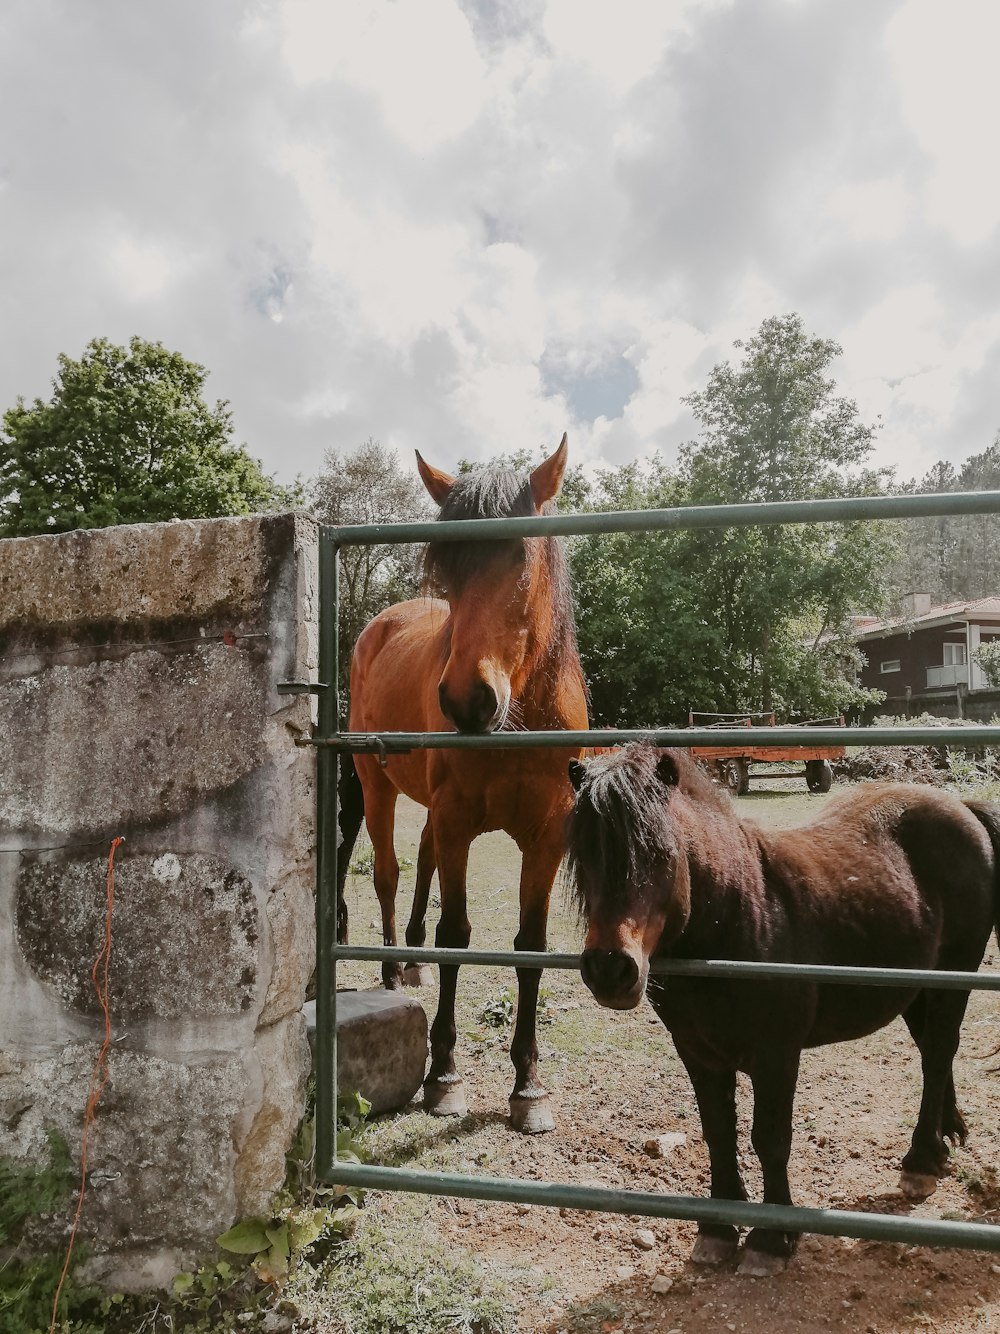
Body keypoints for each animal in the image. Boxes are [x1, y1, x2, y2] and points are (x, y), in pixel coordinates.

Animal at [349, 442, 592, 1131]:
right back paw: (392, 972)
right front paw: (445, 1076)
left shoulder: (546, 837)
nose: (466, 701)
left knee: (420, 864)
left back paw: (411, 962)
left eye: (520, 556)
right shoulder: (458, 821)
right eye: (448, 569)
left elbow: (531, 946)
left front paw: (528, 1088)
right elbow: (455, 935)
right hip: (376, 789)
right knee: (387, 875)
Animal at [568, 747, 997, 1275]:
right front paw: (717, 1229)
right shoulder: (698, 1053)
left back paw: (921, 1161)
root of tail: (961, 807)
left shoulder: (776, 1056)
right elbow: (718, 1133)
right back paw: (947, 1136)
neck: (739, 920)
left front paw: (772, 1238)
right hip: (914, 988)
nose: (610, 969)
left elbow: (769, 1139)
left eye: (660, 853)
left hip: (954, 974)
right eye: (583, 854)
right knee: (934, 1052)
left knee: (939, 1051)